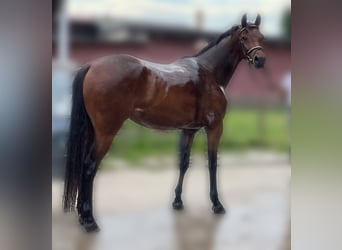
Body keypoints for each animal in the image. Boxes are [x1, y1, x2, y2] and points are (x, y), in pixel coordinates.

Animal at [62, 14, 268, 232]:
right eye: (244, 37)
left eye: (261, 37)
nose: (260, 60)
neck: (209, 72)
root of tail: (92, 66)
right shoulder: (214, 127)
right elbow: (212, 163)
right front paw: (217, 204)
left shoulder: (189, 130)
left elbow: (183, 163)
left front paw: (177, 202)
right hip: (106, 132)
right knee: (89, 167)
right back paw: (90, 221)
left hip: (92, 131)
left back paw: (82, 217)